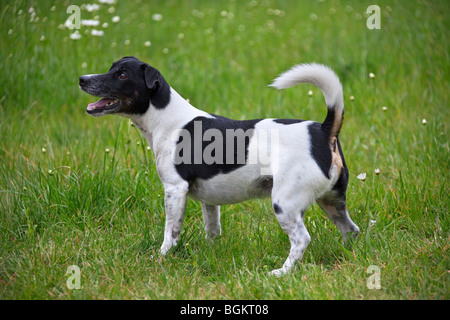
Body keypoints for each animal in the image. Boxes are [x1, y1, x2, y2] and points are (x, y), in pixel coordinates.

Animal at [80, 57, 358, 276]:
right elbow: (212, 230)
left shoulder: (174, 189)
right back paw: (349, 255)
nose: (82, 79)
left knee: (301, 239)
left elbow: (171, 232)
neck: (168, 120)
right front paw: (210, 253)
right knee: (350, 229)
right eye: (112, 68)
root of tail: (323, 131)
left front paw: (161, 257)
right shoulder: (209, 201)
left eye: (122, 74)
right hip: (332, 201)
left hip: (285, 203)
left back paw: (281, 272)